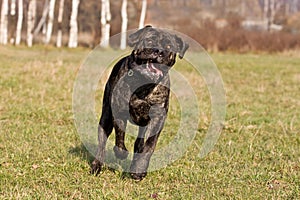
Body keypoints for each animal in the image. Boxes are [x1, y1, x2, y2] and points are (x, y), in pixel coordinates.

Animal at [90, 25, 189, 180]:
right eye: (149, 40)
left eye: (168, 46)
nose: (158, 51)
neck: (143, 84)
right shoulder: (119, 112)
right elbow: (120, 136)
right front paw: (121, 153)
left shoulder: (158, 118)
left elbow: (149, 145)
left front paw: (139, 169)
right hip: (105, 117)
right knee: (102, 143)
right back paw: (96, 165)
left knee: (139, 142)